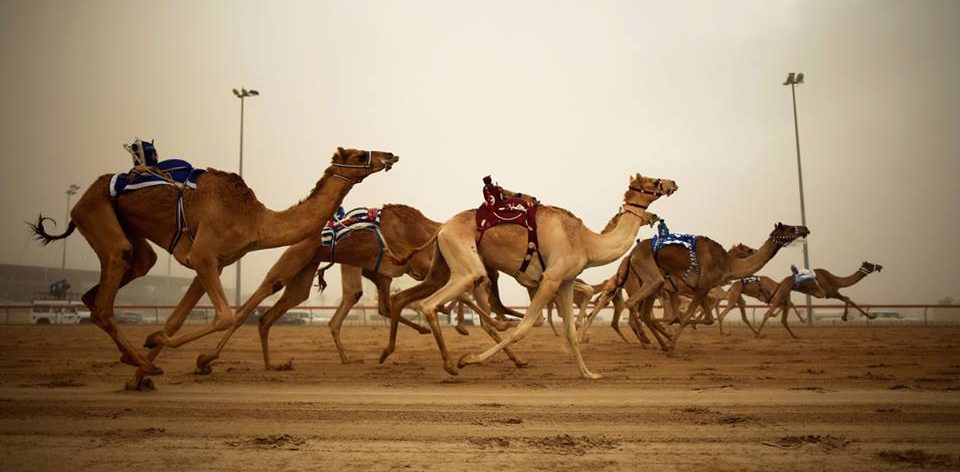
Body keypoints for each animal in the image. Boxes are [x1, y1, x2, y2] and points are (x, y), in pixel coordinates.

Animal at [29, 148, 398, 390]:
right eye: (356, 155)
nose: (389, 155)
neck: (253, 219)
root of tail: (86, 193)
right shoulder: (204, 256)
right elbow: (224, 315)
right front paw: (163, 347)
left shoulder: (213, 265)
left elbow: (178, 319)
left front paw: (141, 374)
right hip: (95, 212)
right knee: (106, 300)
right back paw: (141, 360)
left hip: (129, 236)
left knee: (111, 285)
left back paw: (138, 362)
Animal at [376, 174, 676, 380]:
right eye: (655, 180)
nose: (673, 183)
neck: (586, 242)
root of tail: (442, 227)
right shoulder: (550, 279)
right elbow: (525, 327)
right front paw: (469, 359)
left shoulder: (565, 281)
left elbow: (569, 330)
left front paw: (588, 373)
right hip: (466, 264)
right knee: (431, 303)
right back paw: (452, 364)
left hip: (441, 265)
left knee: (406, 298)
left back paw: (390, 352)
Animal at [584, 223, 808, 352]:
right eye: (789, 228)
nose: (805, 229)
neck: (727, 264)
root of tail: (630, 256)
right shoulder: (699, 288)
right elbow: (683, 317)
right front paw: (672, 342)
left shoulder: (699, 290)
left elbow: (703, 318)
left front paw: (670, 337)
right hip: (650, 280)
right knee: (633, 306)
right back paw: (651, 340)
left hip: (652, 285)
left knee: (642, 312)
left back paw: (656, 341)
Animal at [756, 260, 884, 338]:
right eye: (870, 264)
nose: (880, 266)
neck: (836, 280)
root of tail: (781, 282)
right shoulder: (831, 292)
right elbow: (848, 299)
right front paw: (870, 316)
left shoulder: (832, 293)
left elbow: (848, 299)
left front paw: (846, 317)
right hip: (783, 292)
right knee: (768, 313)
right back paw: (758, 334)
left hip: (785, 294)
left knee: (783, 317)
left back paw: (795, 336)